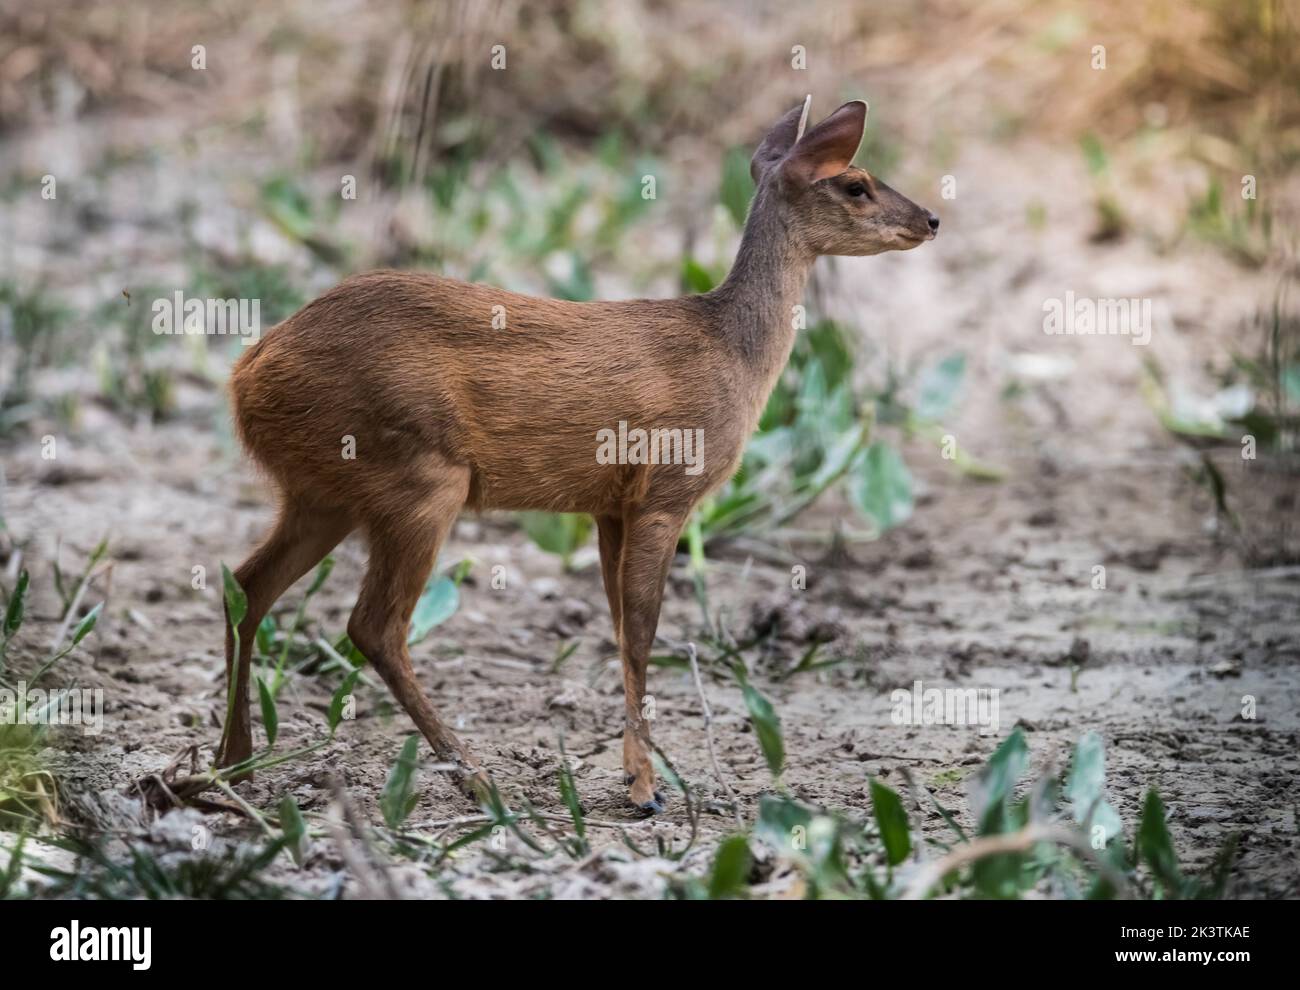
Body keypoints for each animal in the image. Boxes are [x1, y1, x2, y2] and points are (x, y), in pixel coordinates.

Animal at [216, 97, 938, 813]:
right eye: (855, 183)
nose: (930, 218)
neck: (729, 354)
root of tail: (246, 373)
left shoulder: (609, 505)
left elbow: (619, 627)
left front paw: (637, 774)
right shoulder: (667, 490)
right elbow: (643, 632)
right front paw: (645, 787)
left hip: (323, 493)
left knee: (247, 585)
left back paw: (233, 765)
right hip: (419, 477)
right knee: (373, 626)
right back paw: (475, 776)